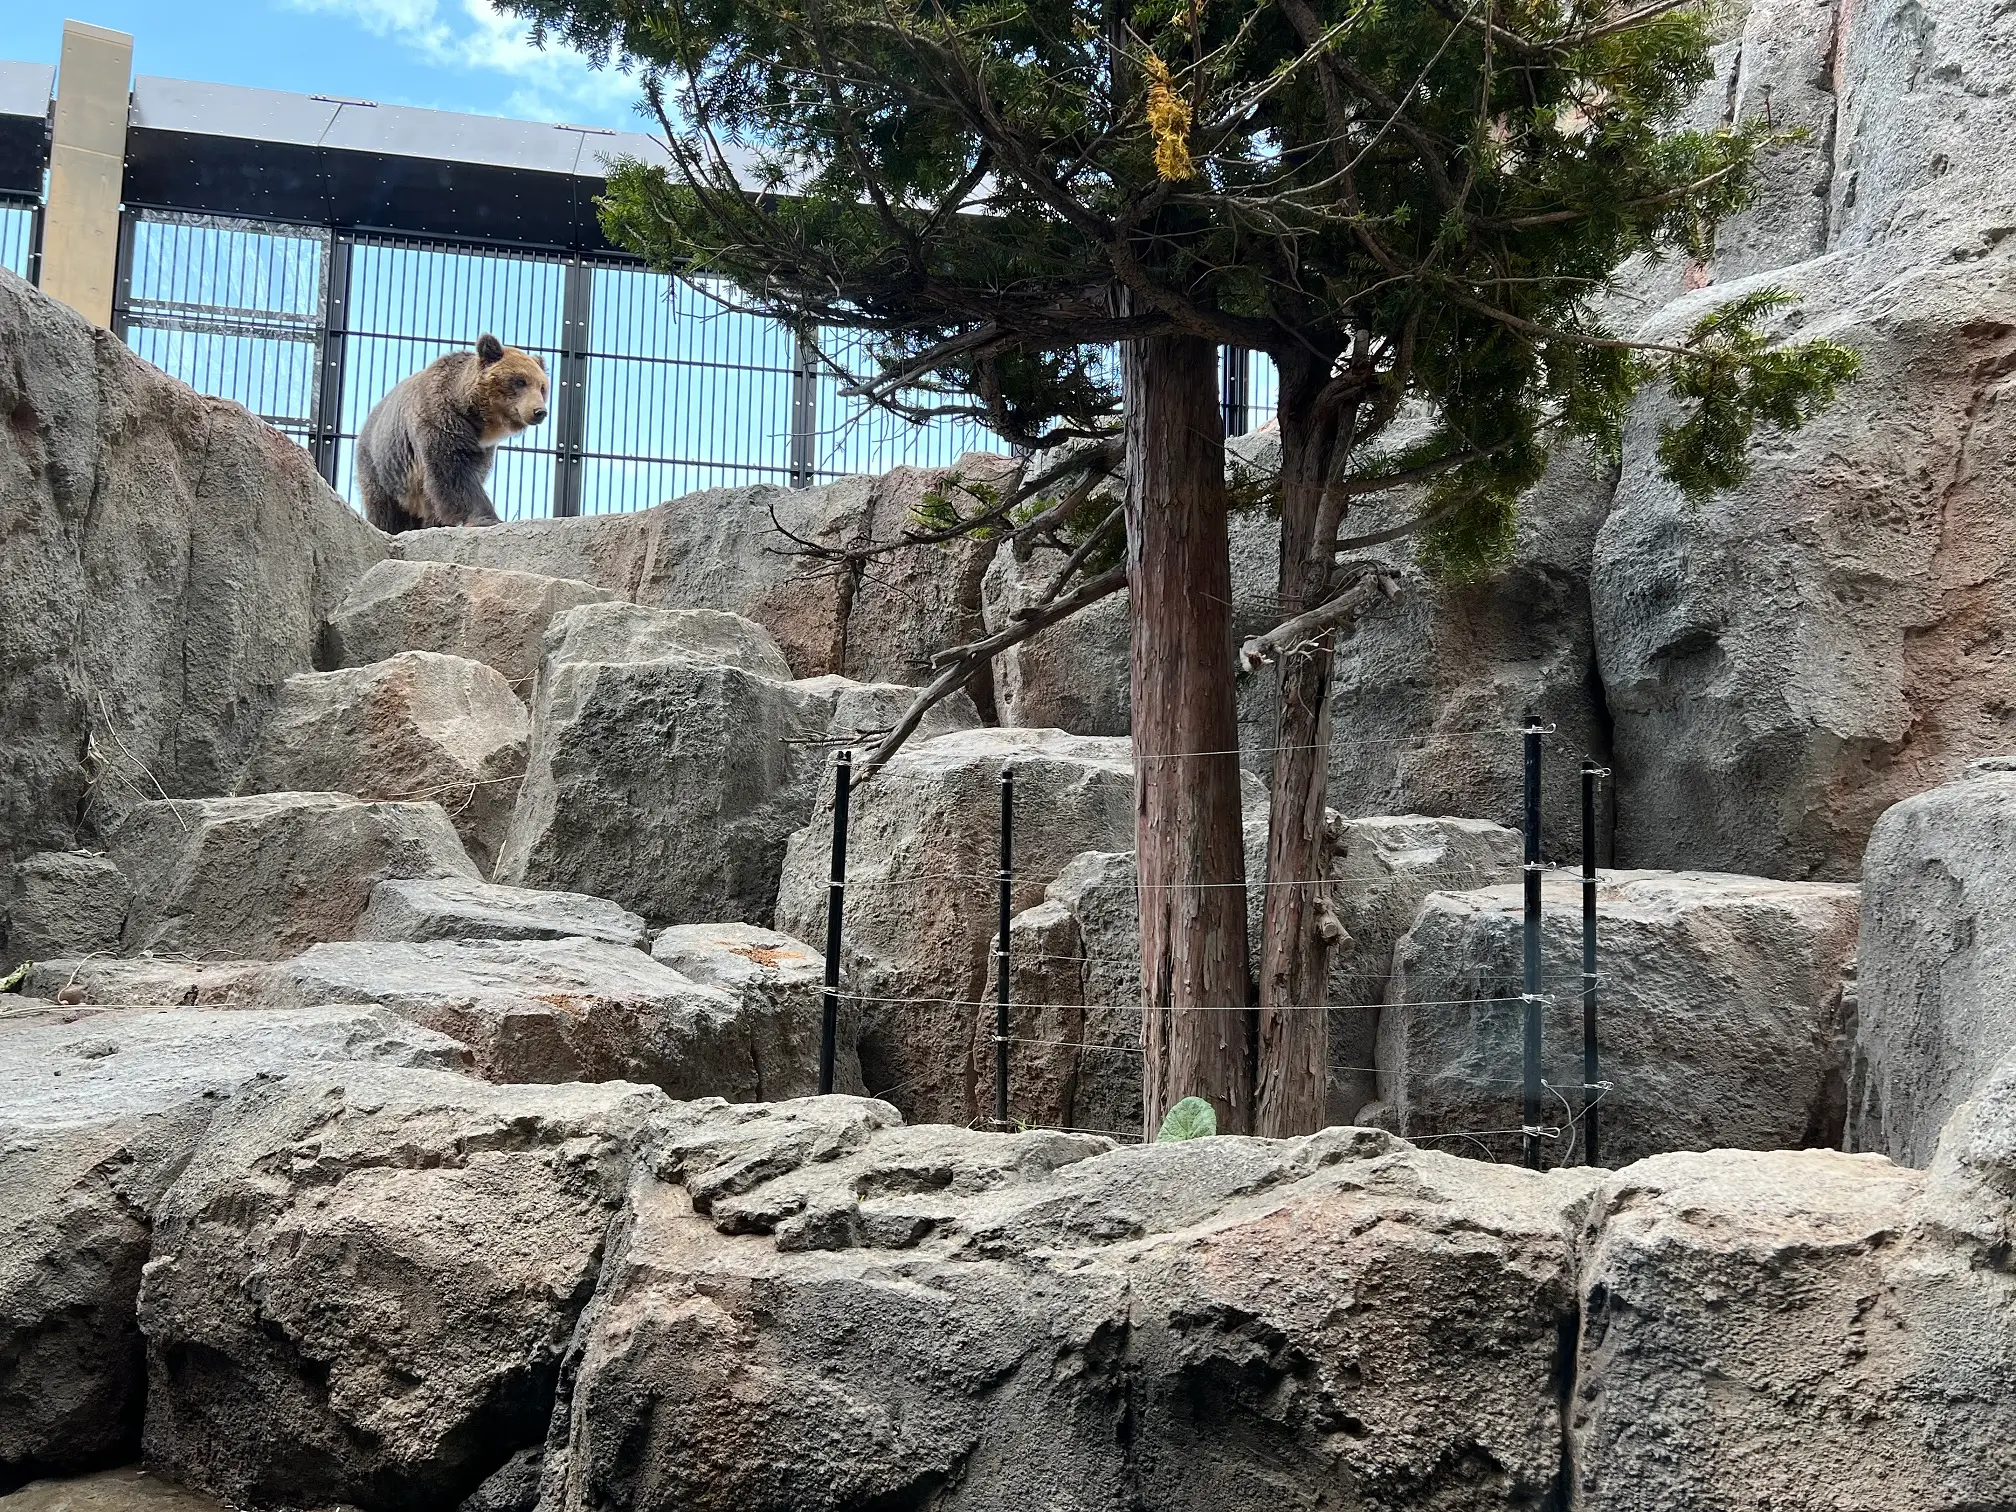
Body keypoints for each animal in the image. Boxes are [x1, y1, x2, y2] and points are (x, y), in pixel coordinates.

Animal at [358, 334, 552, 536]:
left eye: (542, 387)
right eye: (520, 381)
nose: (539, 412)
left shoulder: (483, 448)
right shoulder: (441, 421)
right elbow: (453, 472)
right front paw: (487, 518)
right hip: (383, 463)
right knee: (385, 506)